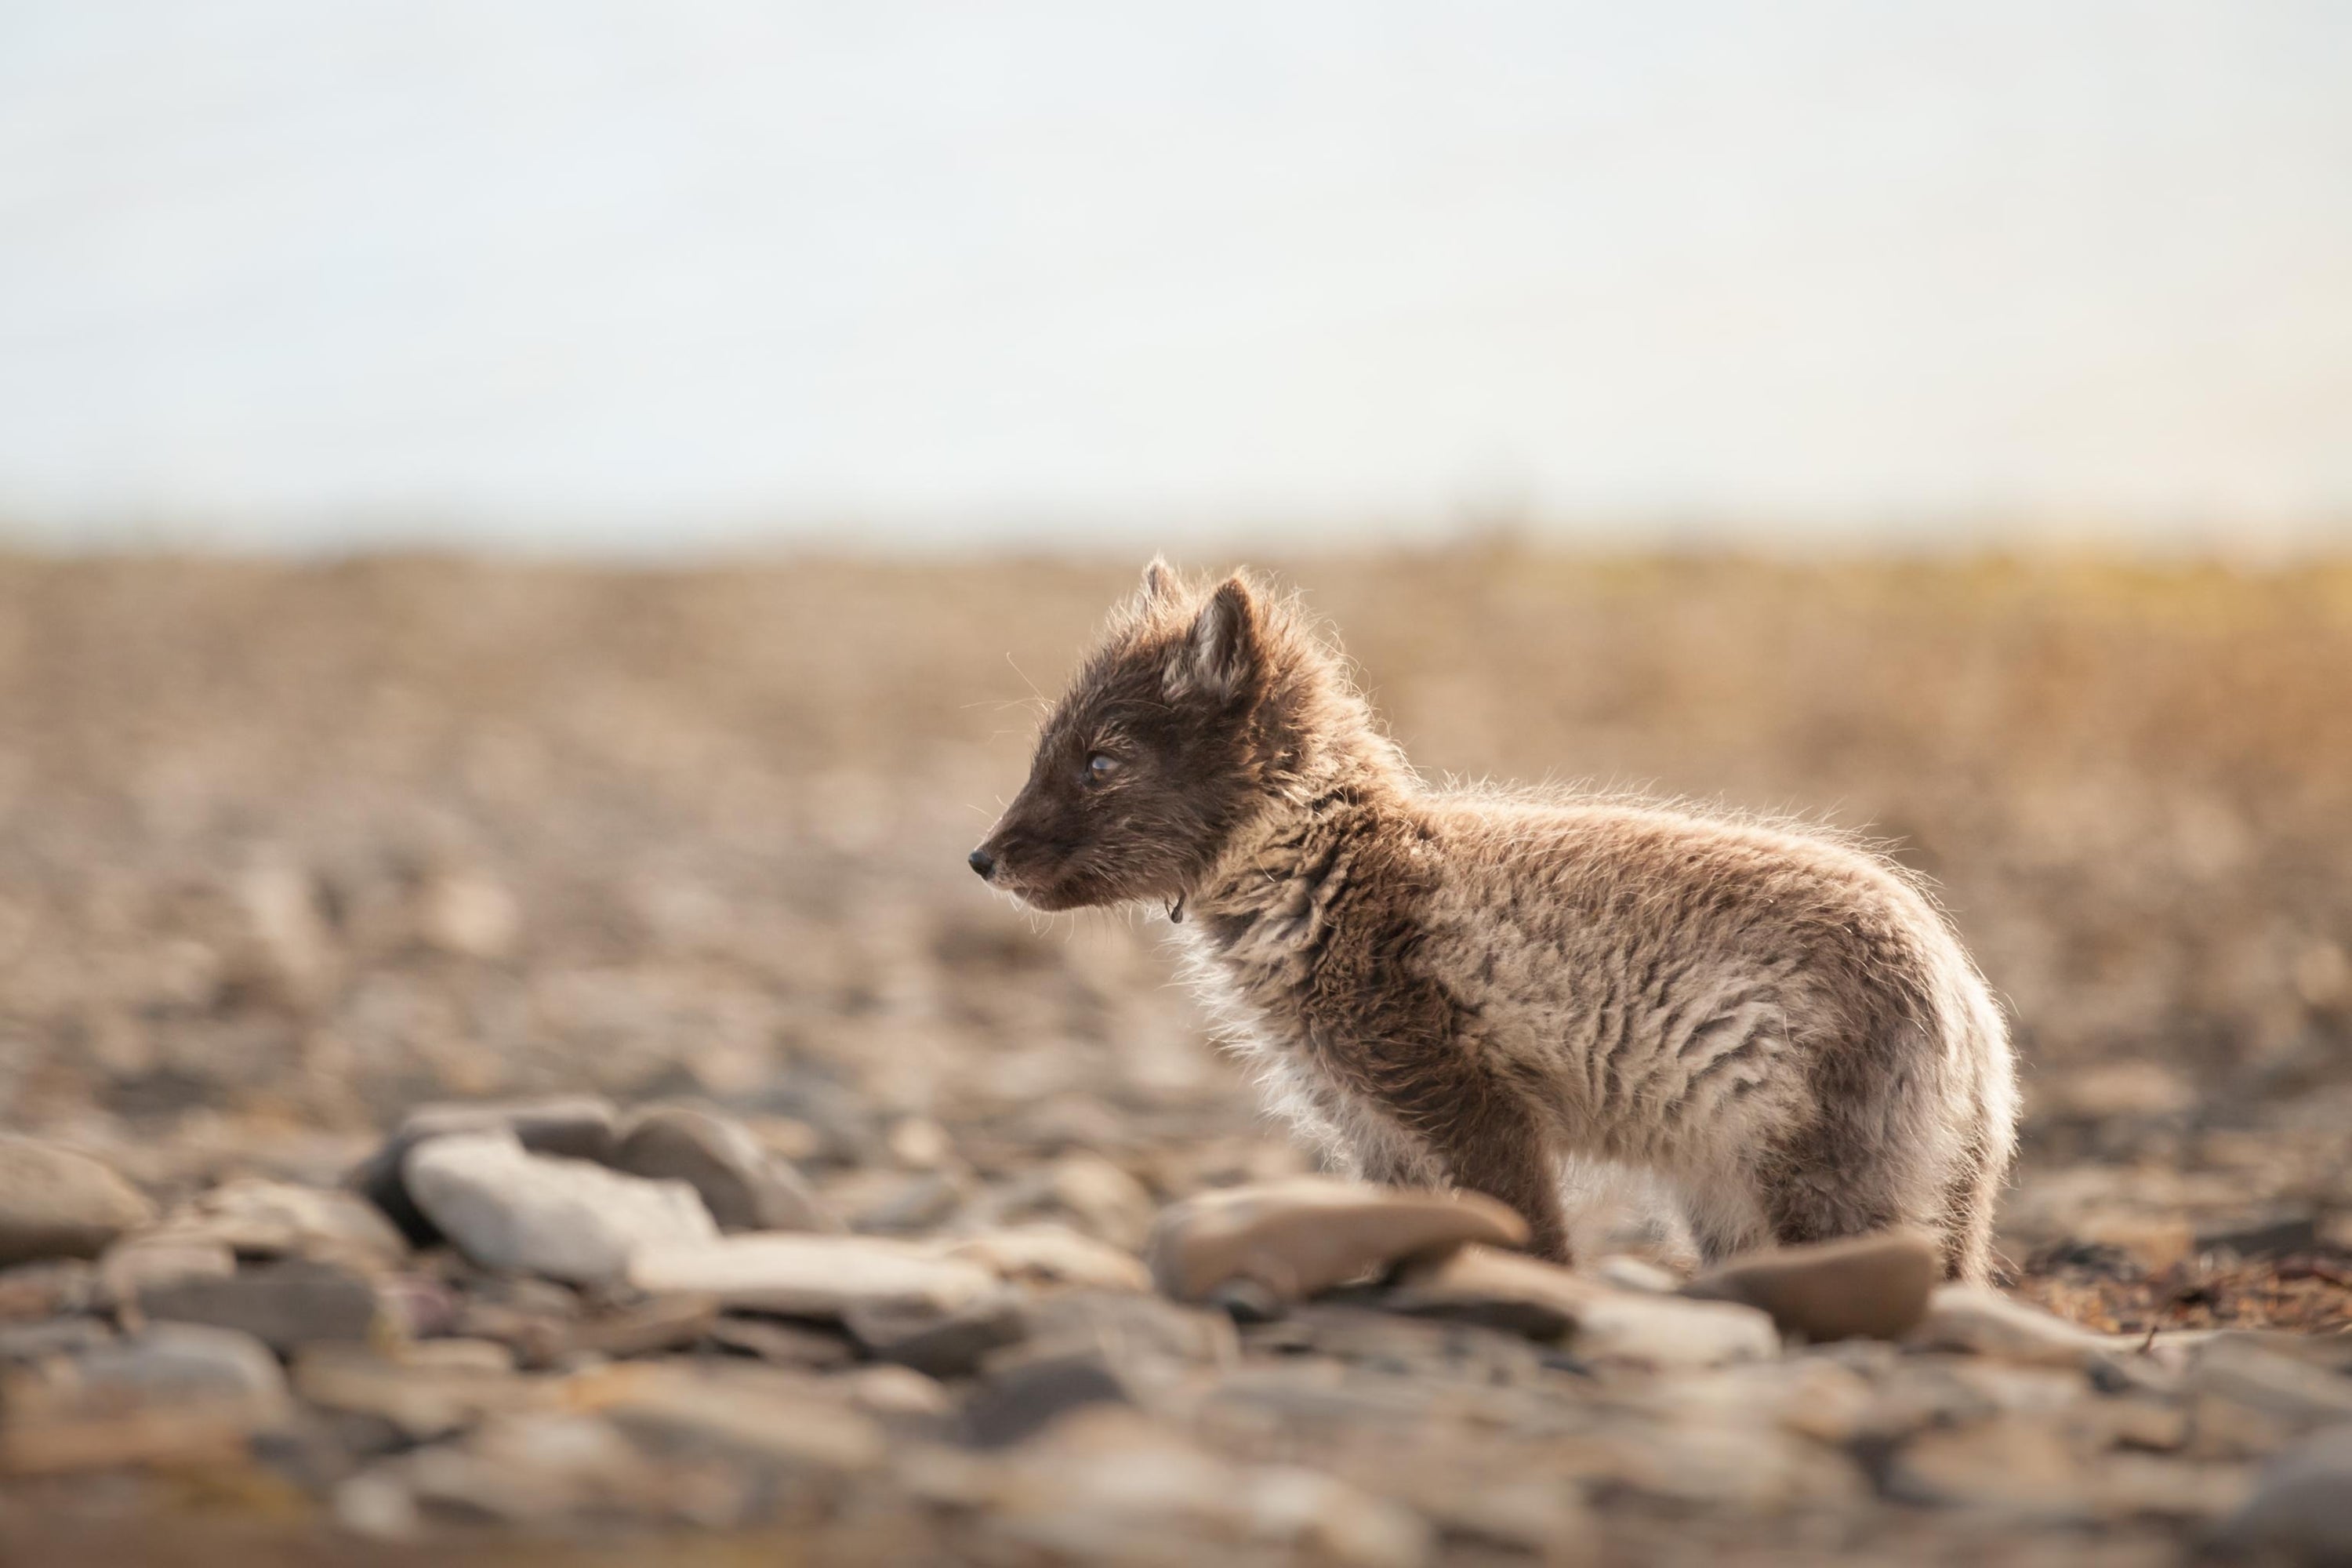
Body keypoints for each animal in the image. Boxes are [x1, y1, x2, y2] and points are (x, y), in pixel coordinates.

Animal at [964, 561, 2013, 1279]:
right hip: (1734, 1205)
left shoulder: (1467, 1102)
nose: (982, 859)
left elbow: (1531, 1237)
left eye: (1101, 762)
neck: (1326, 871)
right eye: (1047, 750)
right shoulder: (1372, 1126)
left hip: (1822, 1193)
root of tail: (1970, 1000)